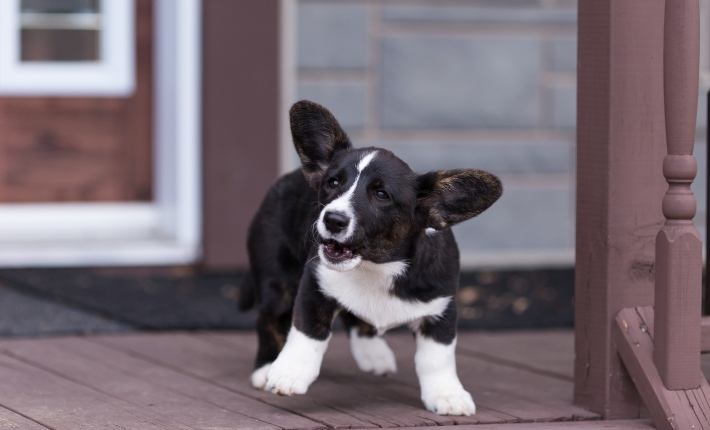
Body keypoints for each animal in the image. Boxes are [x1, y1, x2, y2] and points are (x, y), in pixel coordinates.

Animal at [242, 101, 504, 416]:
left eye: (381, 195)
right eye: (333, 183)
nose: (332, 219)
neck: (377, 267)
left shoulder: (441, 308)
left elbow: (437, 357)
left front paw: (447, 395)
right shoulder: (314, 284)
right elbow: (308, 331)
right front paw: (289, 373)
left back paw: (374, 353)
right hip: (276, 281)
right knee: (270, 318)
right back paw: (265, 367)